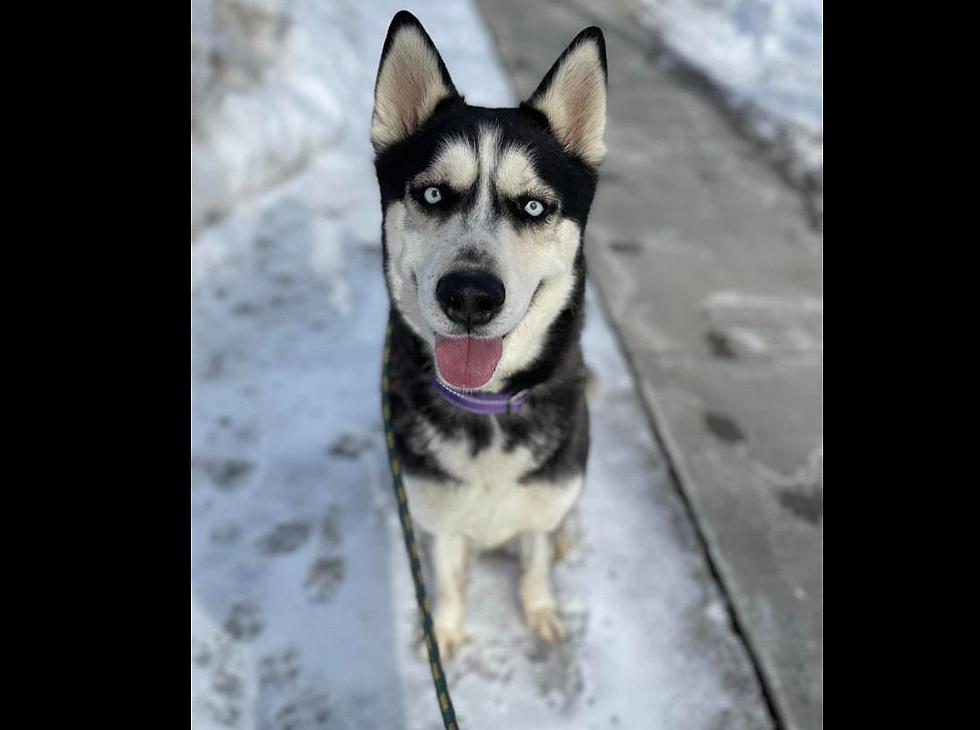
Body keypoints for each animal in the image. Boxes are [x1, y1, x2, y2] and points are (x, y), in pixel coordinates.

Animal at [372, 11, 604, 656]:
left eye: (533, 207)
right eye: (432, 193)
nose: (470, 295)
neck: (487, 407)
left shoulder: (540, 505)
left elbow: (534, 564)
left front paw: (540, 610)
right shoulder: (441, 516)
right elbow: (448, 580)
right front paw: (446, 633)